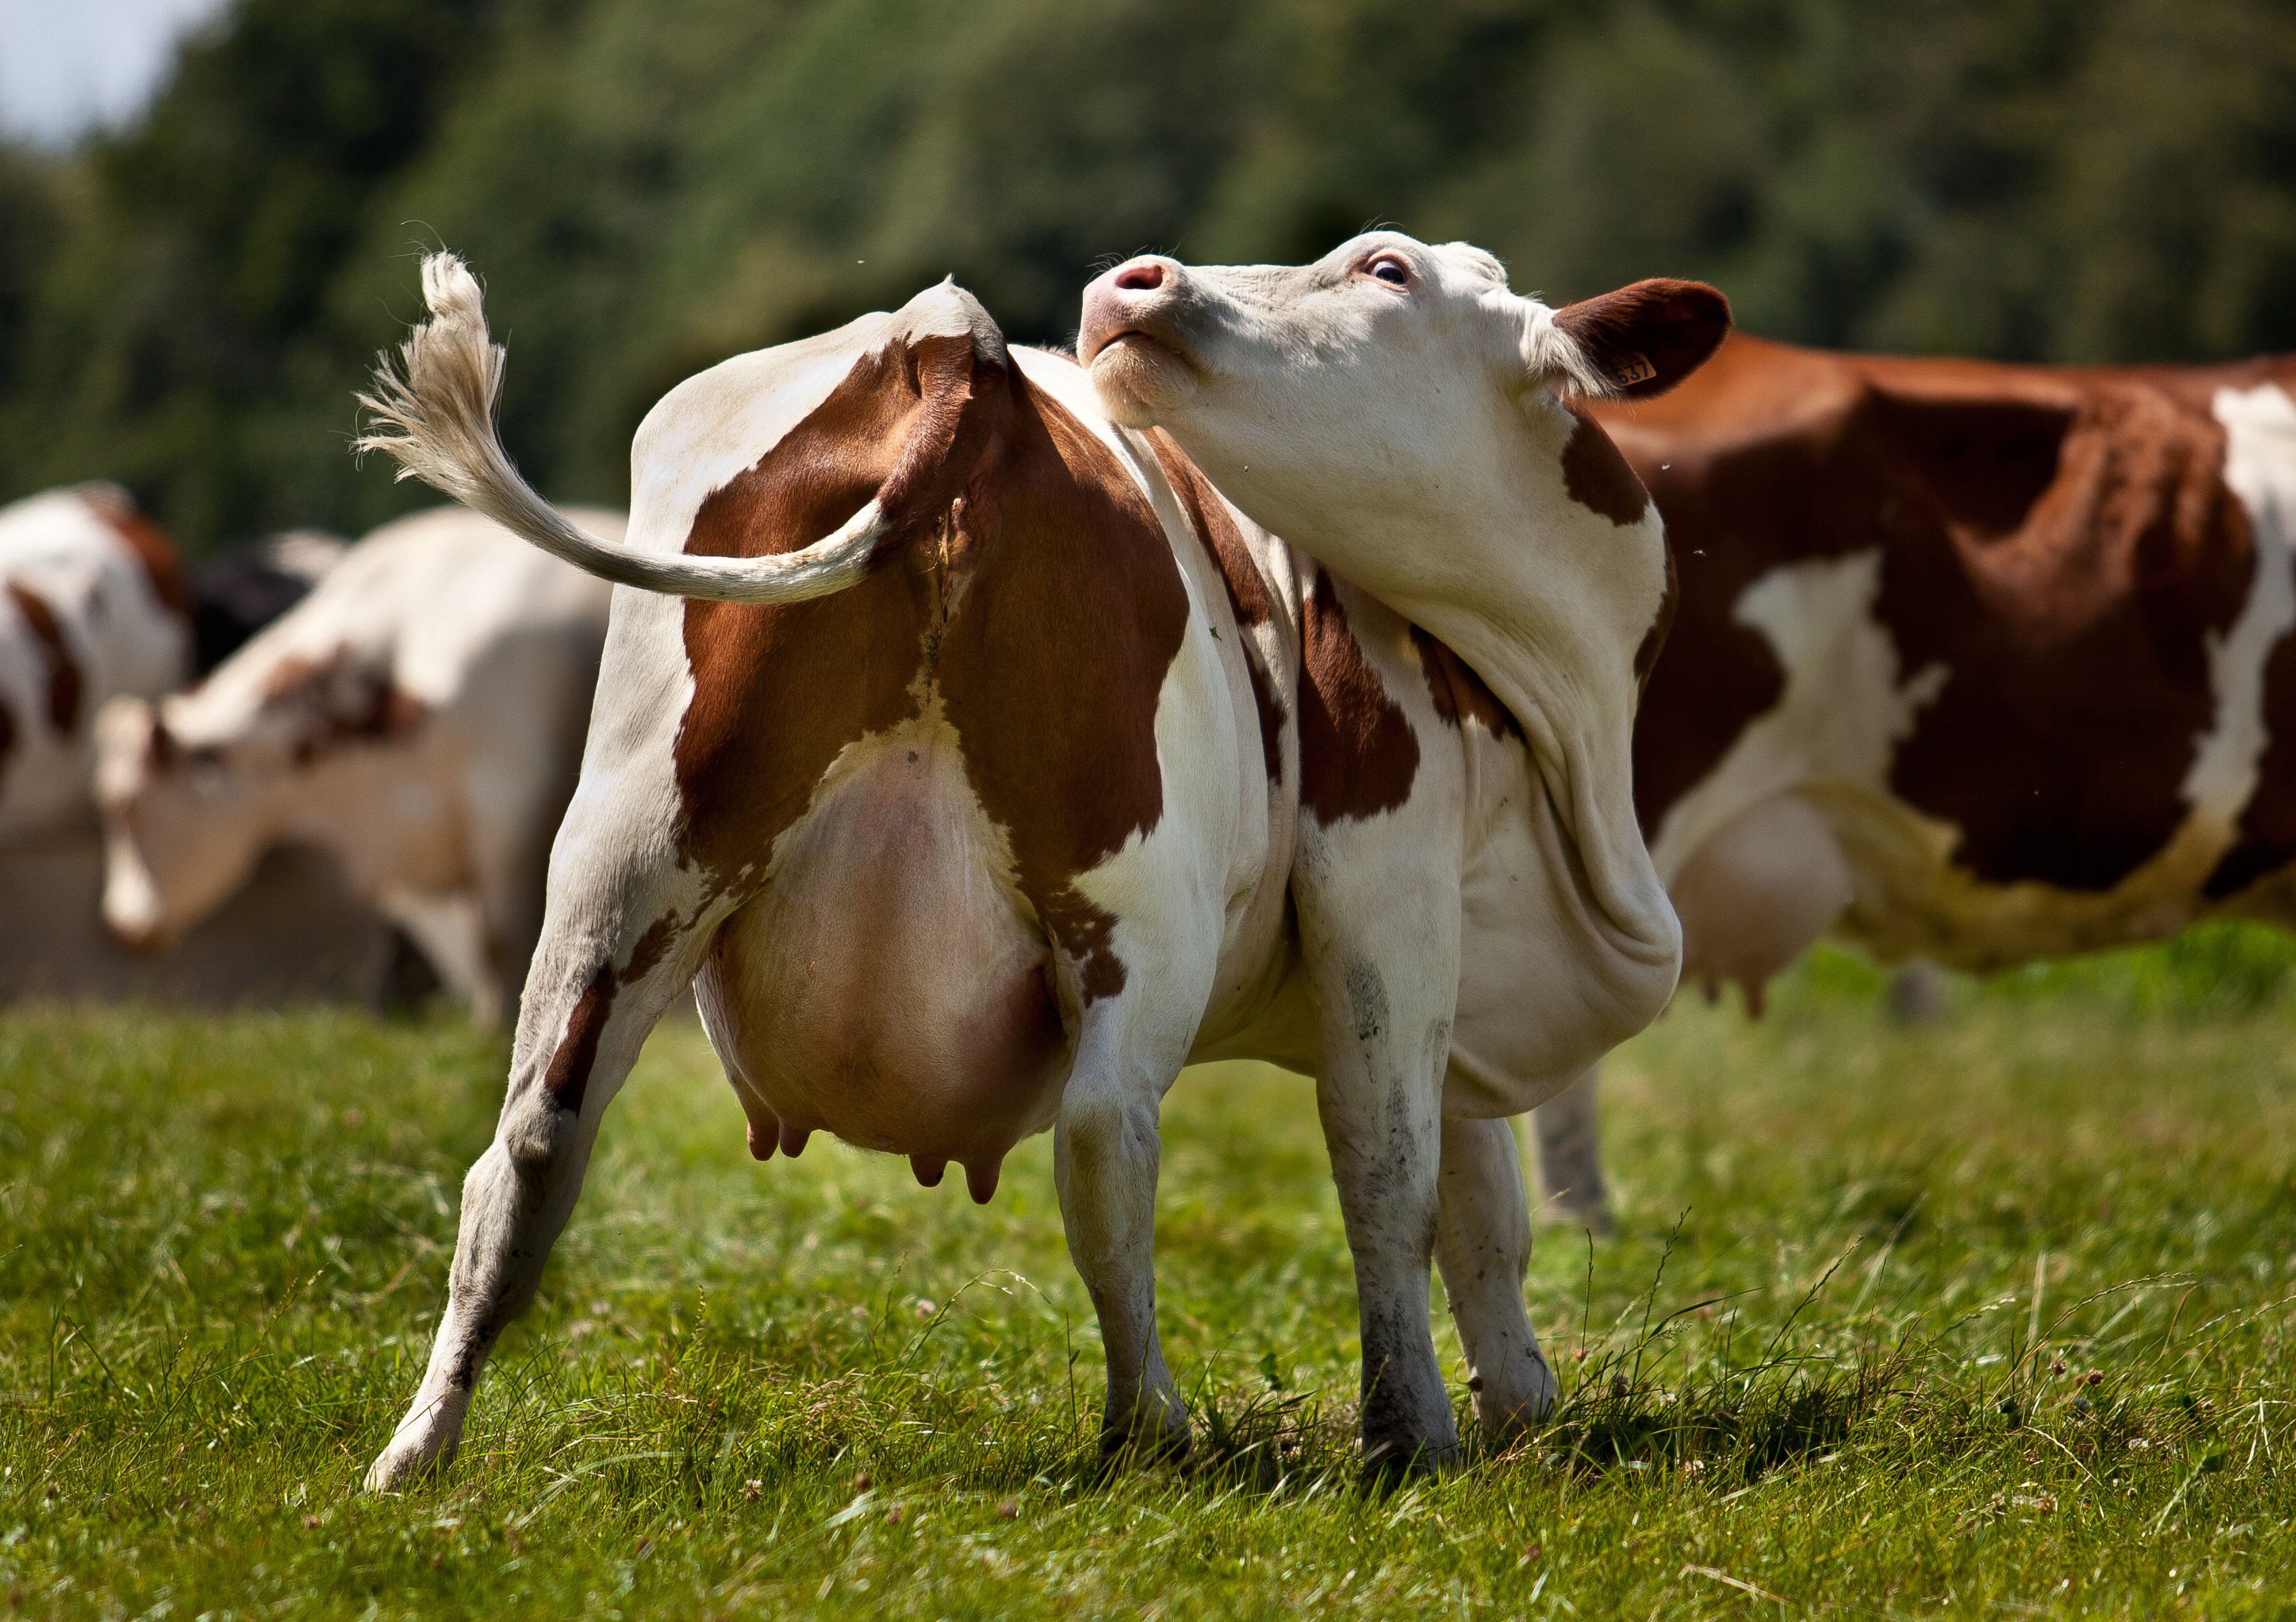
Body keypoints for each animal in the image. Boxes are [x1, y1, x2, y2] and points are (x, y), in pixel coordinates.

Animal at [353, 237, 1727, 1486]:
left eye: (1385, 269)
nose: (1136, 281)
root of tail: (947, 341)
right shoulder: (1391, 886)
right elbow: (1397, 1171)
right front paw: (1414, 1430)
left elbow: (1484, 1199)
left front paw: (1520, 1400)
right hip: (1138, 911)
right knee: (1107, 1136)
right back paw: (1152, 1426)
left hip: (626, 869)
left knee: (527, 1148)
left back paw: (416, 1449)